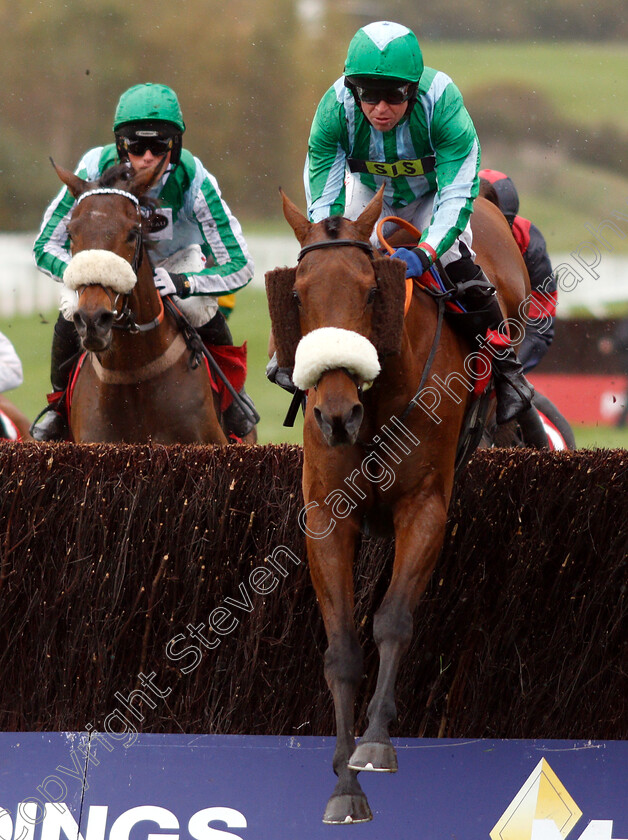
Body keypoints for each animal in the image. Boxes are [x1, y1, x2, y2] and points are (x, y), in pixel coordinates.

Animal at [264, 187, 528, 824]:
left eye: (370, 291)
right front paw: (343, 784)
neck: (376, 402)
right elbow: (341, 649)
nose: (336, 416)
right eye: (299, 296)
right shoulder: (326, 518)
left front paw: (376, 744)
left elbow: (392, 620)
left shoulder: (425, 508)